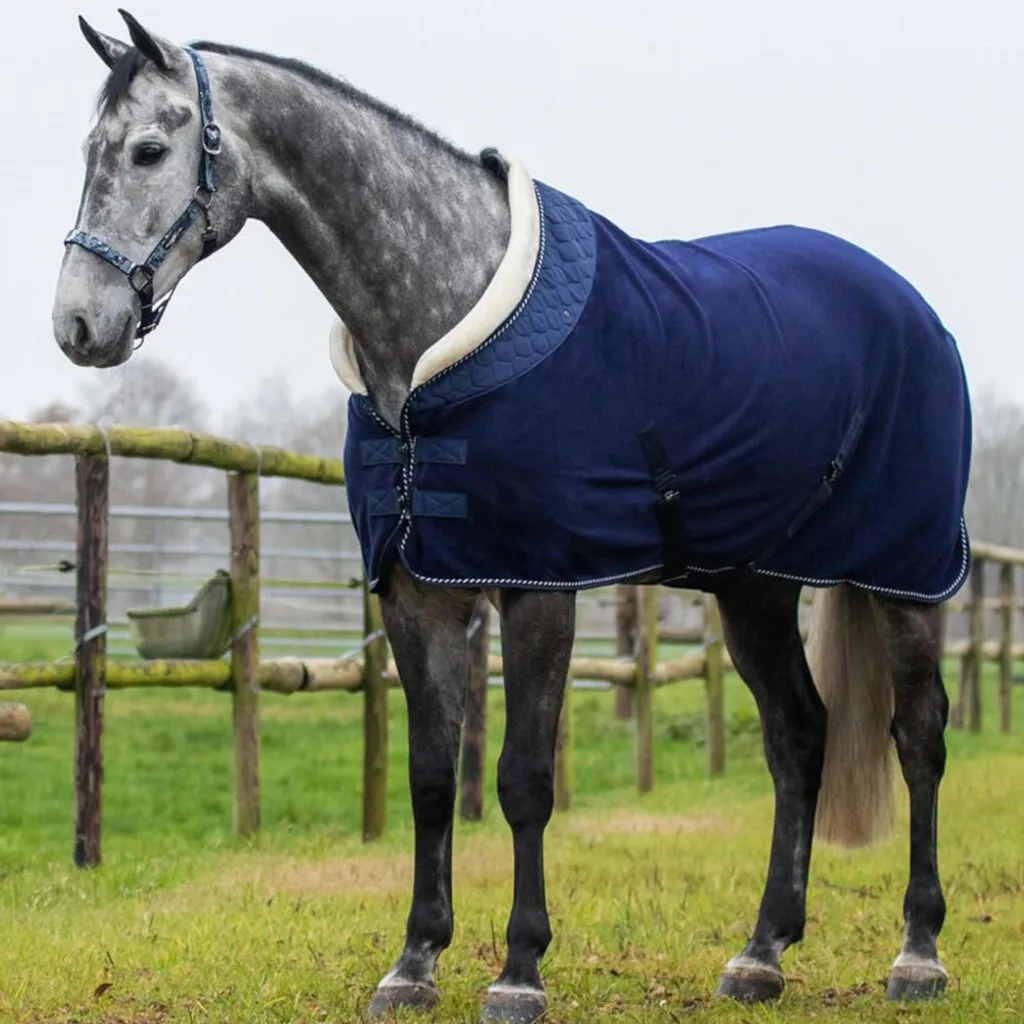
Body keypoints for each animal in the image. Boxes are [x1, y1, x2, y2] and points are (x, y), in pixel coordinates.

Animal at [52, 13, 972, 1022]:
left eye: (148, 150)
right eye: (88, 151)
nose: (78, 327)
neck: (435, 332)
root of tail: (910, 306)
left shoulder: (539, 588)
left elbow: (523, 780)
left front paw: (519, 970)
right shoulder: (419, 594)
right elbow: (429, 777)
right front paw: (413, 964)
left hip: (906, 575)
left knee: (919, 737)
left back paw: (918, 953)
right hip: (753, 590)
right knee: (799, 736)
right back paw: (762, 953)